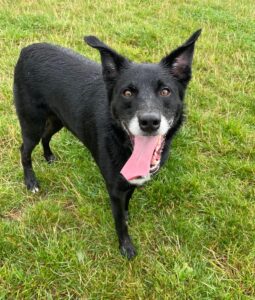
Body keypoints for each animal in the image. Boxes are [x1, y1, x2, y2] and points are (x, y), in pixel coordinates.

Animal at [13, 31, 201, 260]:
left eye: (166, 91)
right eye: (127, 93)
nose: (149, 122)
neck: (122, 141)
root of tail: (27, 49)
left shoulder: (127, 182)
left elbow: (127, 201)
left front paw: (127, 214)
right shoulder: (114, 188)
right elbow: (120, 223)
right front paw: (125, 247)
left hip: (58, 119)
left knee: (46, 137)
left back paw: (49, 156)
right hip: (32, 123)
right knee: (25, 150)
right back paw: (31, 182)